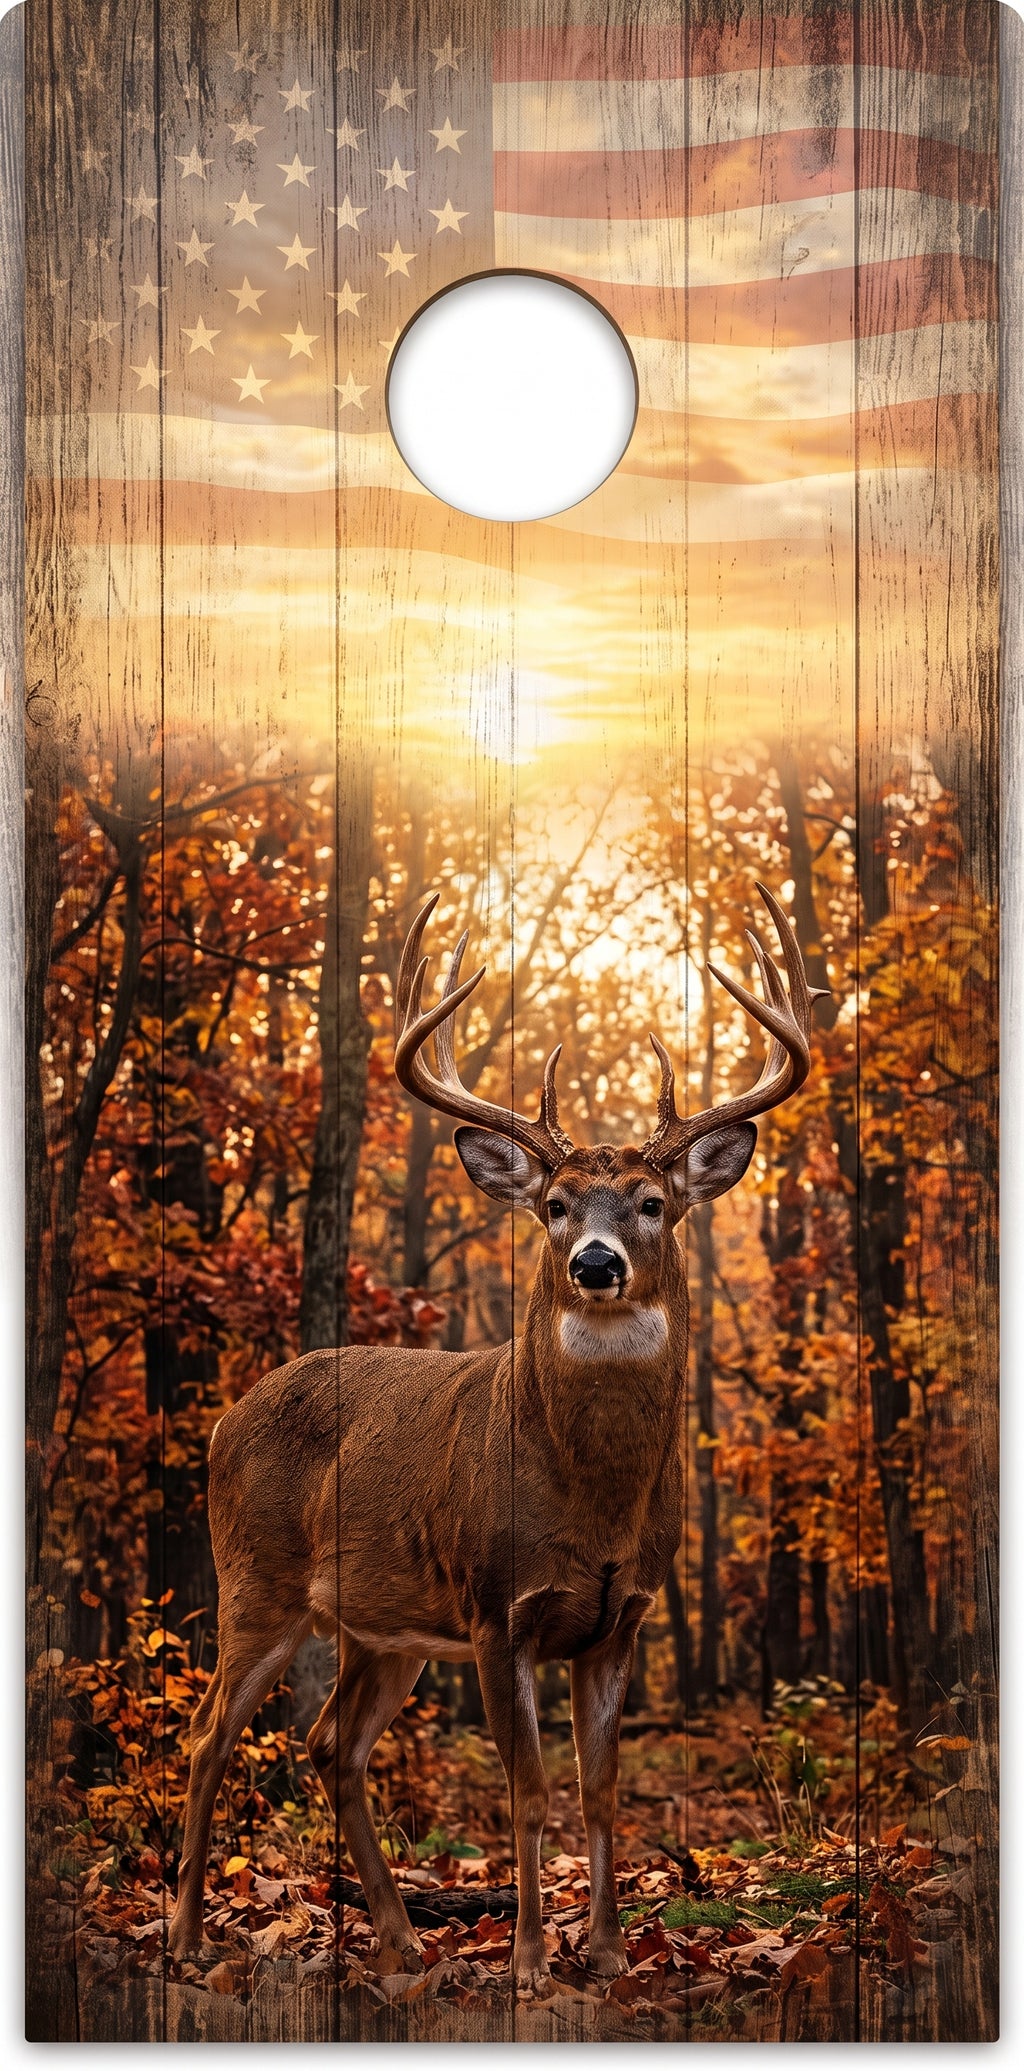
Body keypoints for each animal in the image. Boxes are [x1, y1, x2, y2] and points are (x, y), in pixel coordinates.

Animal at [167, 883, 821, 1990]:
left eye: (652, 1203)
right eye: (553, 1205)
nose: (597, 1261)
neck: (590, 1499)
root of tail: (223, 1418)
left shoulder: (622, 1619)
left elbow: (601, 1790)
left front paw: (606, 1950)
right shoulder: (493, 1608)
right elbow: (528, 1792)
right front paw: (525, 1962)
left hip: (381, 1629)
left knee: (331, 1745)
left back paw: (399, 1940)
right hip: (255, 1578)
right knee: (210, 1734)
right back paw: (182, 1938)